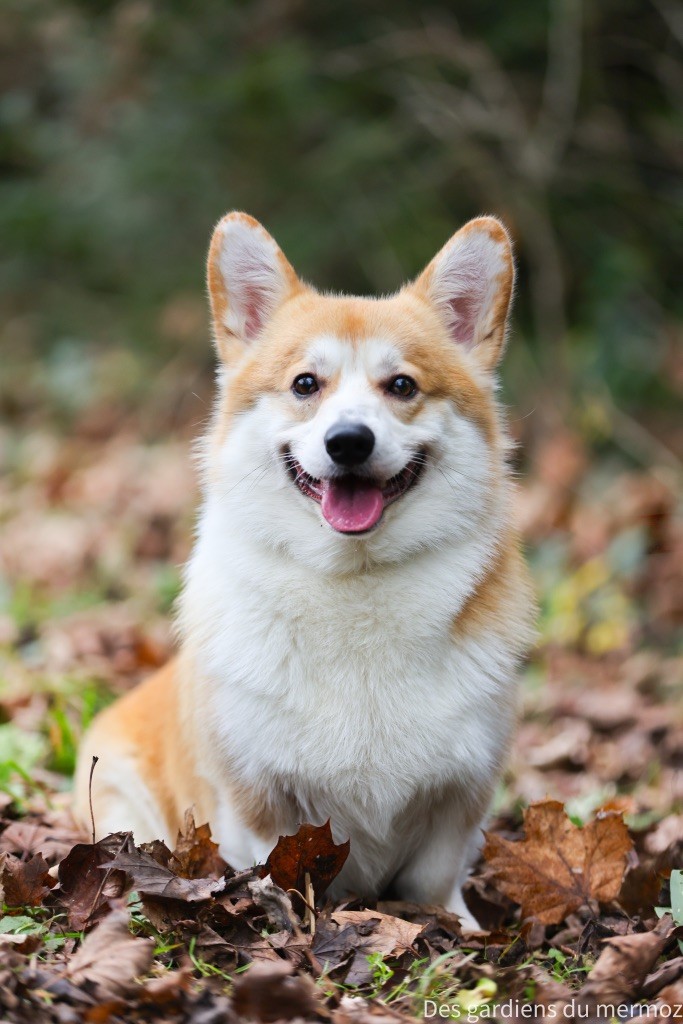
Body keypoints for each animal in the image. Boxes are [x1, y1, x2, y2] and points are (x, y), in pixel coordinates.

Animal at [73, 207, 532, 929]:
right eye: (304, 385)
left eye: (402, 385)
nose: (348, 442)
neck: (354, 582)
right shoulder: (257, 796)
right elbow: (278, 866)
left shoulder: (461, 791)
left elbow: (435, 880)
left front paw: (458, 929)